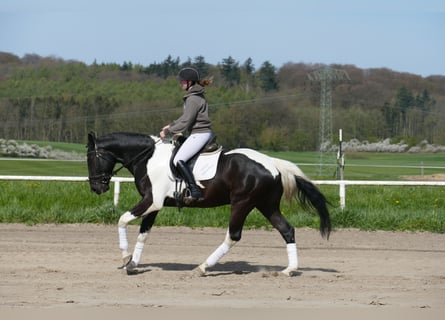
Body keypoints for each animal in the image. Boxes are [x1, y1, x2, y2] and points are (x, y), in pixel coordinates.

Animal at [86, 131, 330, 276]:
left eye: (91, 159)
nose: (97, 188)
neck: (148, 157)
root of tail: (272, 163)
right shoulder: (155, 205)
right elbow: (143, 234)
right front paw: (133, 264)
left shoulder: (151, 201)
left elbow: (122, 220)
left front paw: (125, 258)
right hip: (266, 205)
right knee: (287, 229)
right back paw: (289, 269)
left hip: (242, 203)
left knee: (233, 236)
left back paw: (202, 267)